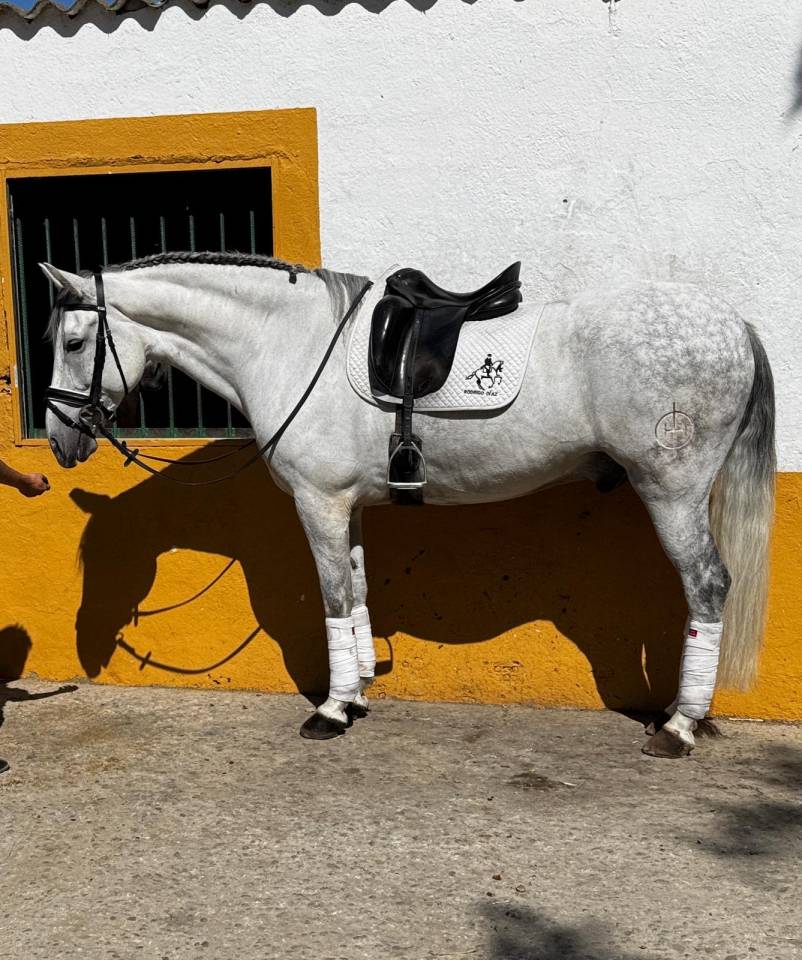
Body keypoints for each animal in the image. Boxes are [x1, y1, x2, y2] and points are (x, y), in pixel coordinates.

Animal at [40, 251, 775, 758]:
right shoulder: (351, 506)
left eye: (74, 342)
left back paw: (678, 726)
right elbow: (360, 590)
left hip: (671, 491)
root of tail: (734, 325)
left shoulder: (319, 503)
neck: (287, 344)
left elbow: (333, 598)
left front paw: (332, 709)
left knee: (708, 587)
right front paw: (359, 690)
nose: (60, 438)